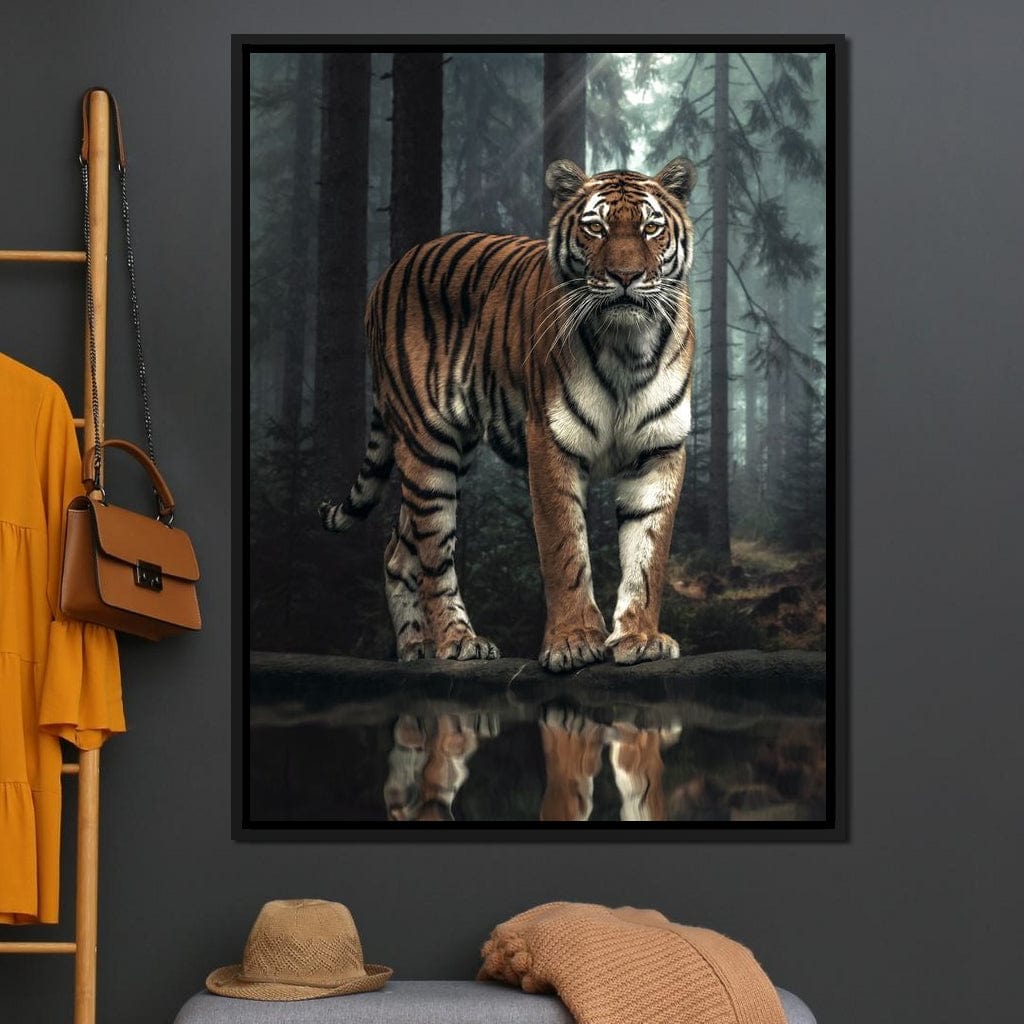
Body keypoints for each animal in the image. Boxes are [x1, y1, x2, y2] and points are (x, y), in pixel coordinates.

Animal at [320, 156, 697, 673]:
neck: (627, 347)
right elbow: (564, 548)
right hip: (428, 446)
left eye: (651, 228)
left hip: (450, 452)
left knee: (399, 549)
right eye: (595, 228)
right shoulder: (551, 440)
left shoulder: (659, 449)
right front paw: (574, 642)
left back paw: (414, 649)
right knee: (433, 554)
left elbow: (648, 554)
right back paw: (457, 642)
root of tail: (388, 272)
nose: (625, 276)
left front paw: (640, 638)